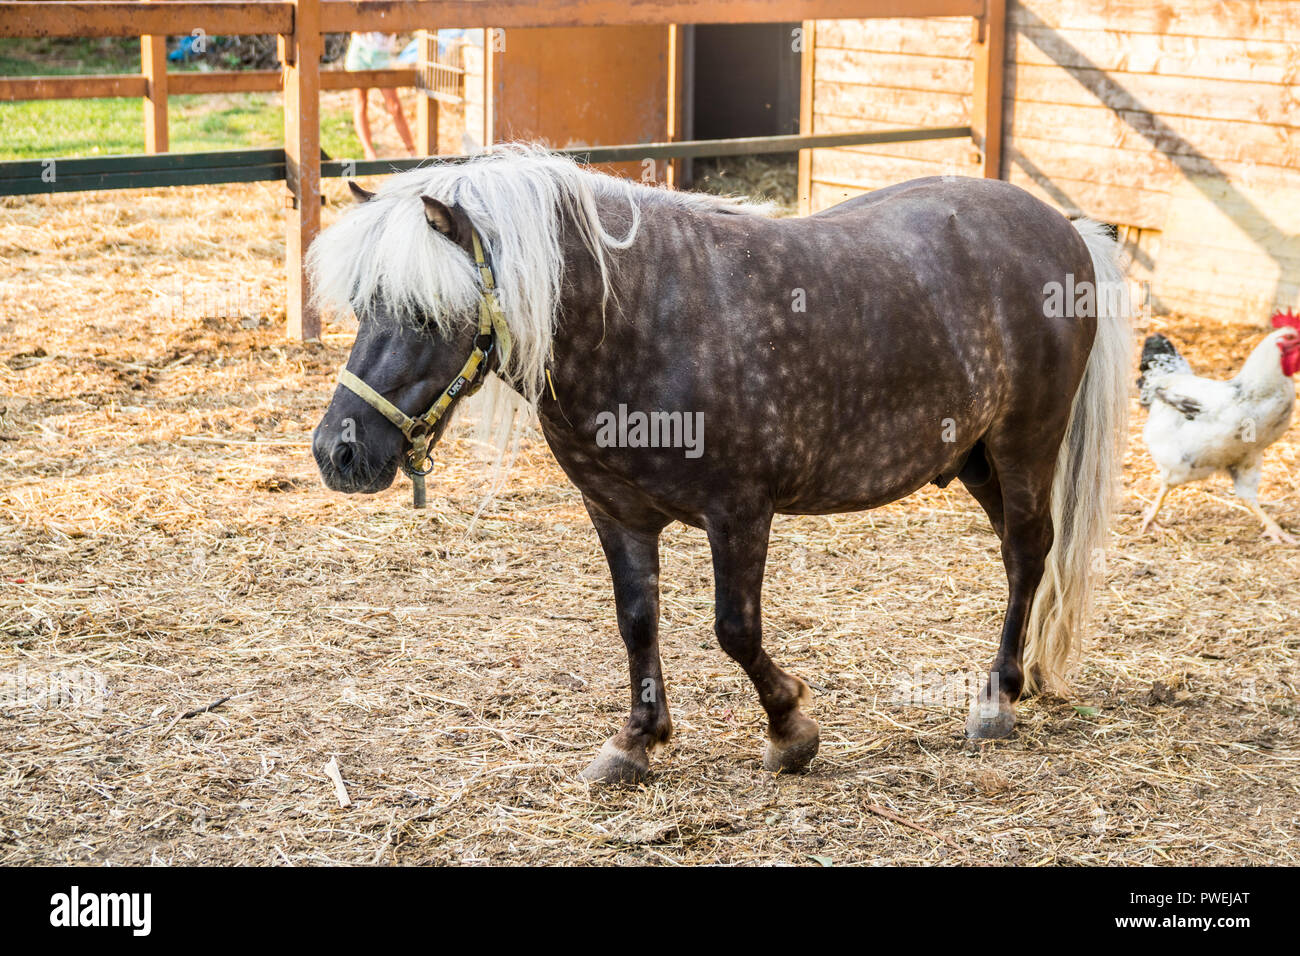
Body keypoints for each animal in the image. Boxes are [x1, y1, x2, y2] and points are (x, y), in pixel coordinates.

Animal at [306, 145, 1128, 780]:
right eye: (366, 304)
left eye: (426, 313)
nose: (339, 453)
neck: (642, 321)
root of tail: (1067, 230)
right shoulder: (617, 514)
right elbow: (636, 621)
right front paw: (636, 742)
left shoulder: (739, 512)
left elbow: (736, 630)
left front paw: (791, 731)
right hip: (975, 458)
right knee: (1025, 552)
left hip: (1025, 443)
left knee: (1027, 551)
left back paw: (996, 698)